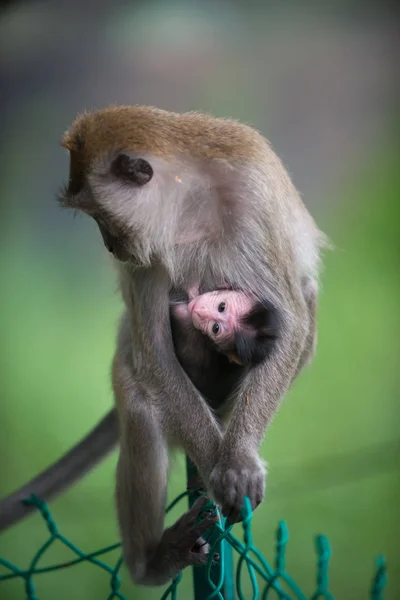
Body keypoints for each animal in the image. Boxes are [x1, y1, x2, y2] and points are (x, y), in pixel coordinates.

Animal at [0, 106, 326, 584]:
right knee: (139, 401)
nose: (109, 245)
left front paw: (238, 461)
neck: (189, 201)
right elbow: (154, 356)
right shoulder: (145, 254)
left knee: (304, 294)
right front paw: (220, 471)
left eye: (99, 213)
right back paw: (150, 562)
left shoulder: (253, 196)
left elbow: (293, 321)